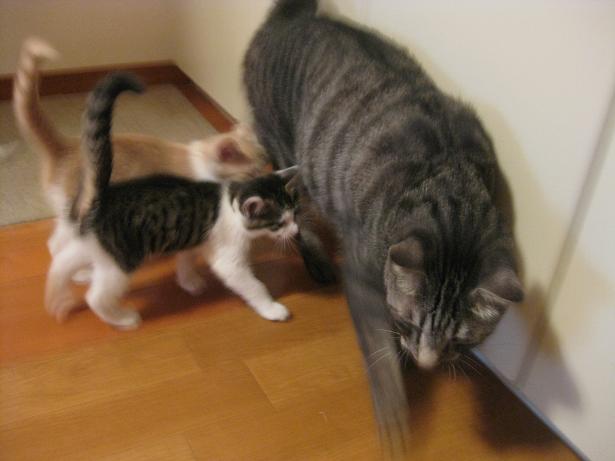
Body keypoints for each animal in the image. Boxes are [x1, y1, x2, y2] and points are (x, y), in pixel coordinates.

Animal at [13, 37, 266, 256]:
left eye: (263, 167)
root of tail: (67, 145)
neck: (201, 159)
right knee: (62, 239)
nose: (260, 184)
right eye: (251, 173)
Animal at [45, 73, 299, 329]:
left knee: (61, 260)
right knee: (94, 295)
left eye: (294, 214)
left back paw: (59, 298)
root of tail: (101, 195)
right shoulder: (229, 259)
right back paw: (123, 318)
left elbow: (186, 260)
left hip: (92, 242)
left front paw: (189, 281)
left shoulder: (194, 237)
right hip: (121, 259)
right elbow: (253, 285)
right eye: (279, 223)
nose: (296, 231)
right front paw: (272, 308)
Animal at [244, 0, 524, 451]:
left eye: (461, 340)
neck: (454, 183)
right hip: (285, 150)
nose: (428, 363)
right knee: (296, 215)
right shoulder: (362, 271)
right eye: (412, 321)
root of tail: (291, 17)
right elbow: (378, 346)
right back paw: (315, 255)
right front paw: (394, 396)